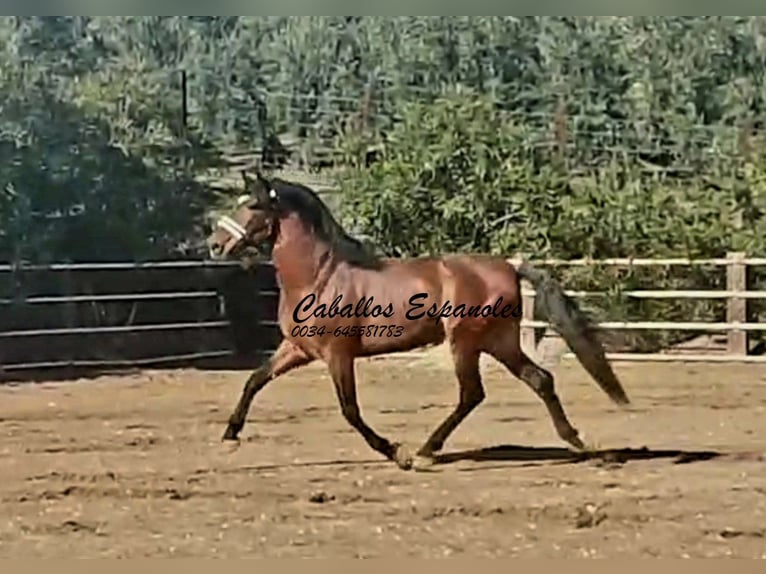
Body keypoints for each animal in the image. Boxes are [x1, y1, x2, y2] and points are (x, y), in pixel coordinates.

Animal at [206, 171, 630, 470]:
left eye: (254, 206)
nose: (214, 244)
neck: (320, 276)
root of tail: (508, 266)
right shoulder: (297, 348)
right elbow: (254, 380)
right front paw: (230, 436)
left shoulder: (337, 354)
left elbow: (350, 410)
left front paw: (396, 453)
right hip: (499, 341)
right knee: (540, 379)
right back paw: (579, 443)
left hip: (465, 341)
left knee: (472, 394)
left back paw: (426, 451)